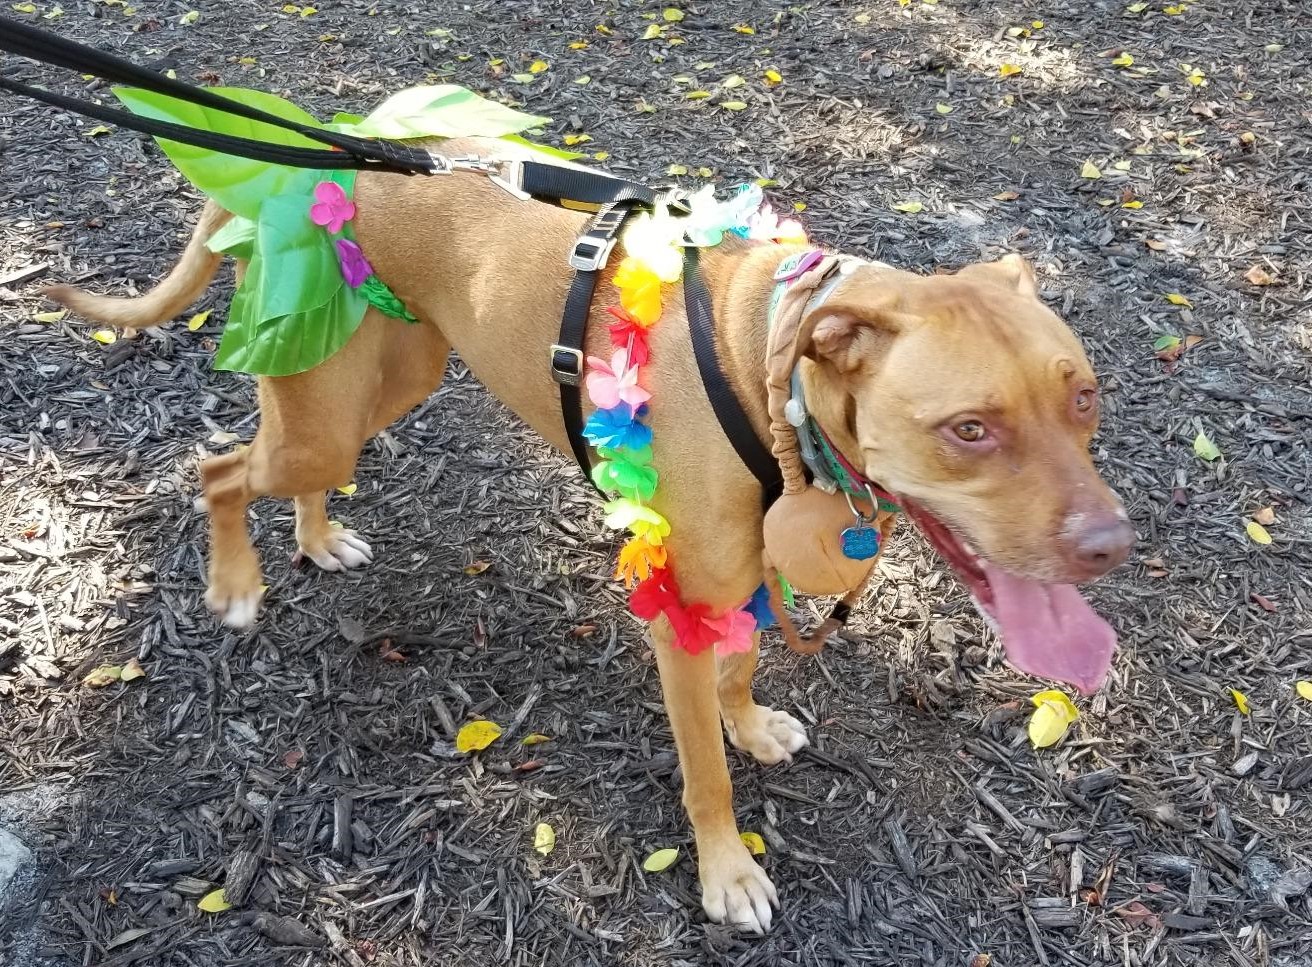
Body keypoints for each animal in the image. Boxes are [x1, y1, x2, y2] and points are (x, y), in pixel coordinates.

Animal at [48, 135, 1138, 928]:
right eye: (970, 429)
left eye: (1084, 397)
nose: (1111, 546)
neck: (772, 366)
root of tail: (316, 163)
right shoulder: (679, 615)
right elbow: (704, 775)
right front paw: (726, 871)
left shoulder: (740, 582)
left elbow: (743, 671)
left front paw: (751, 723)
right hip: (321, 415)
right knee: (219, 470)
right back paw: (236, 583)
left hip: (374, 389)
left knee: (292, 470)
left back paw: (318, 539)